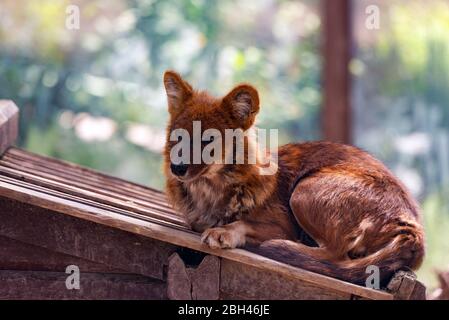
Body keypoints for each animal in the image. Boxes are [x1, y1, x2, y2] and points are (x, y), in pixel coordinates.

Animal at [162, 70, 424, 284]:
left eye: (208, 140)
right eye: (178, 136)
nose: (177, 168)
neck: (210, 190)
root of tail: (412, 227)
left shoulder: (283, 225)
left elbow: (243, 222)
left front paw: (223, 231)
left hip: (304, 191)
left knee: (336, 255)